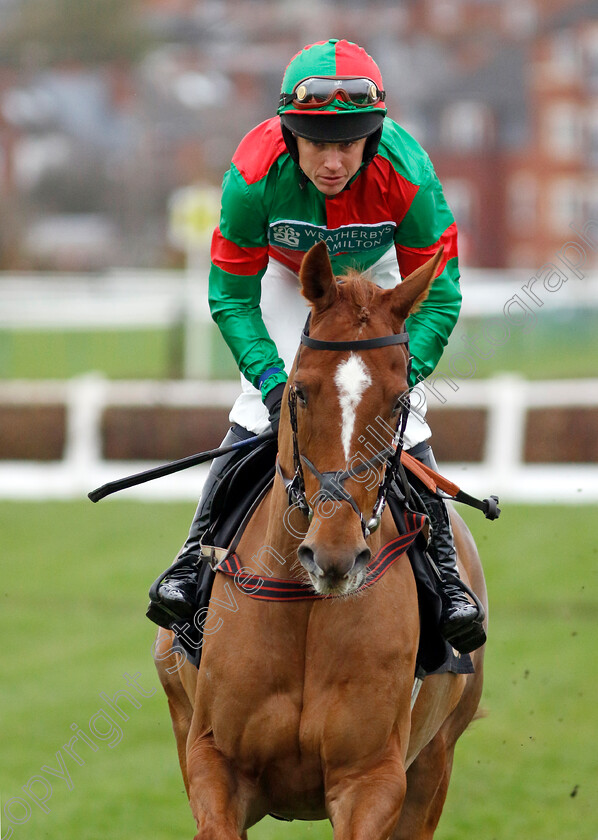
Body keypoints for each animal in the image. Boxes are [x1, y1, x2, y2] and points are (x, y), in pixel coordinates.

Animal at [155, 240, 488, 836]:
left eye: (400, 401)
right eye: (300, 392)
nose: (334, 556)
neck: (305, 605)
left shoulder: (372, 780)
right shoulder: (213, 761)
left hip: (435, 761)